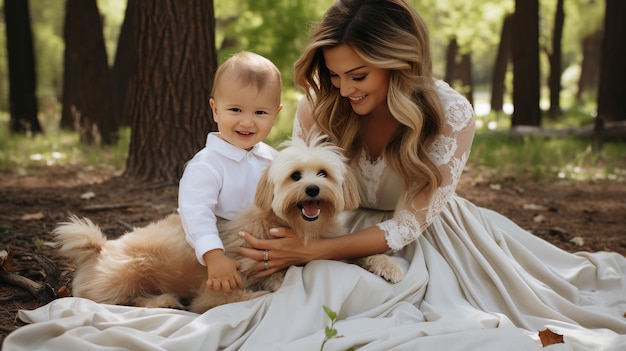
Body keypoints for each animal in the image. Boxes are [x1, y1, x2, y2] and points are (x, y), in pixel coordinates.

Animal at [56, 135, 402, 314]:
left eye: (323, 173)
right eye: (295, 176)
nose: (313, 190)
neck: (300, 229)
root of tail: (99, 248)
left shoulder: (328, 248)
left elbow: (359, 252)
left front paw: (387, 264)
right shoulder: (216, 290)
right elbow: (246, 295)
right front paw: (271, 285)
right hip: (128, 273)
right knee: (121, 301)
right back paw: (164, 300)